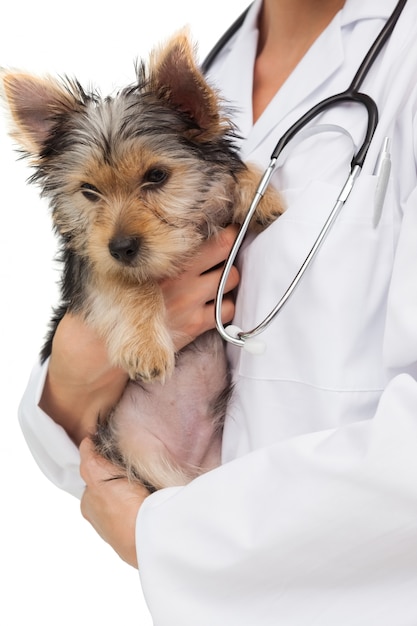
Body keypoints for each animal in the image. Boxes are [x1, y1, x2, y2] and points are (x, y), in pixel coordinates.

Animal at [0, 33, 282, 488]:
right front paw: (146, 347)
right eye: (89, 191)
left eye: (157, 177)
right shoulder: (90, 265)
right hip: (138, 452)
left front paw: (260, 192)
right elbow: (126, 282)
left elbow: (230, 175)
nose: (121, 247)